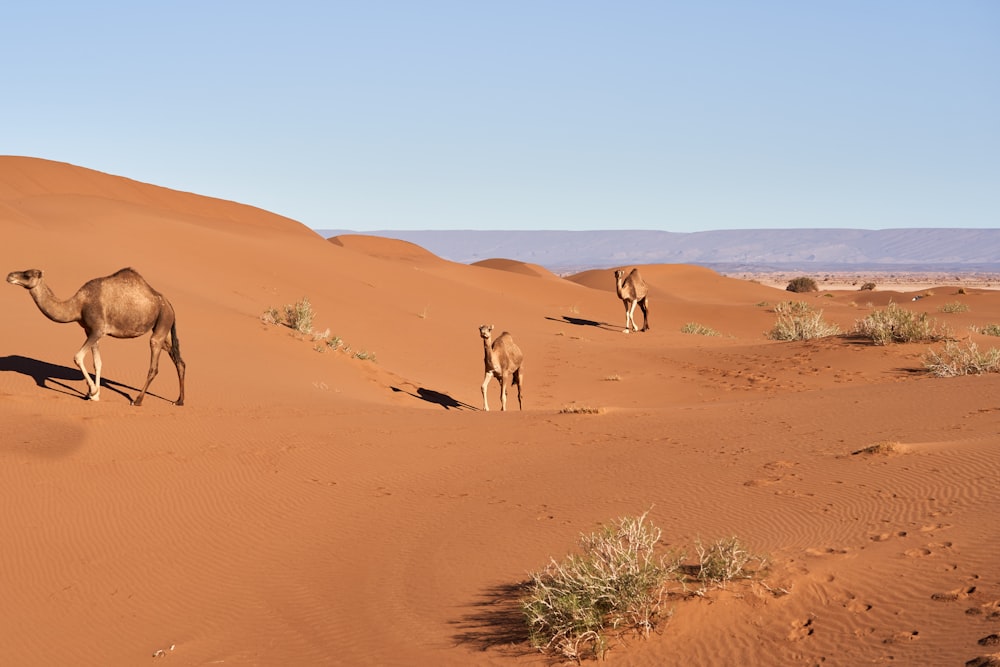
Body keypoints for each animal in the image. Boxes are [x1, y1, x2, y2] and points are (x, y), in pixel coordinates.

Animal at [7, 268, 186, 408]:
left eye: (28, 275)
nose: (9, 275)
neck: (78, 305)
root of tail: (169, 305)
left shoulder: (98, 330)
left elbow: (78, 357)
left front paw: (92, 391)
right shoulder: (89, 331)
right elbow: (97, 363)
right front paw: (95, 394)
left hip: (162, 322)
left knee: (154, 365)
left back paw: (137, 400)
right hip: (165, 328)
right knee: (179, 361)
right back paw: (179, 401)